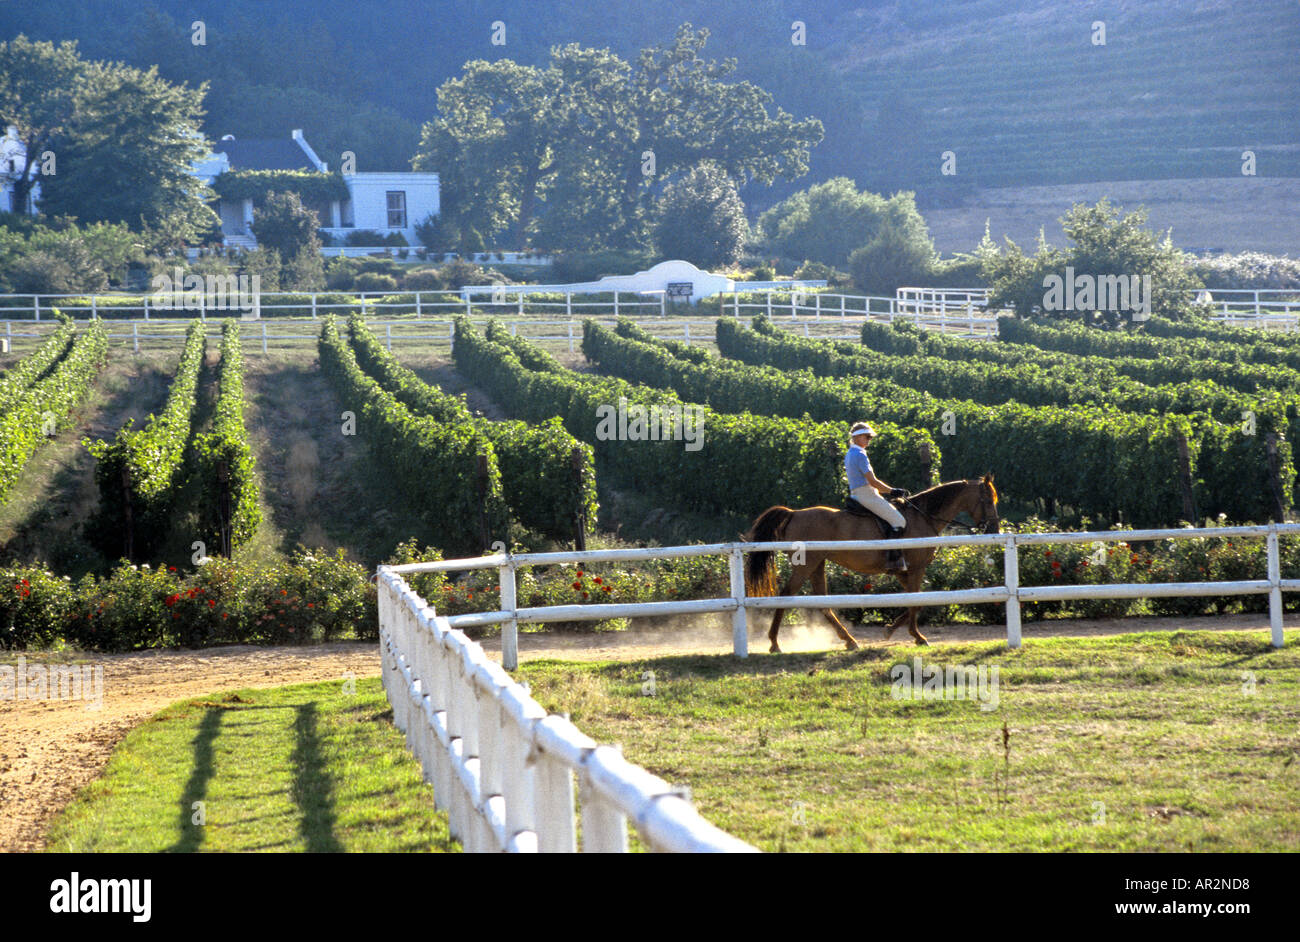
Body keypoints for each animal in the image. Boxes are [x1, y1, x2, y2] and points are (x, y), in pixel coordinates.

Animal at [738, 472, 998, 649]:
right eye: (987, 500)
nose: (994, 528)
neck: (924, 516)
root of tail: (793, 513)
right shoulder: (916, 568)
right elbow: (916, 602)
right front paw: (917, 636)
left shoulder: (904, 571)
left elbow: (915, 601)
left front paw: (891, 630)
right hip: (806, 565)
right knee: (786, 595)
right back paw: (774, 642)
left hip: (817, 565)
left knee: (822, 602)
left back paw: (849, 640)